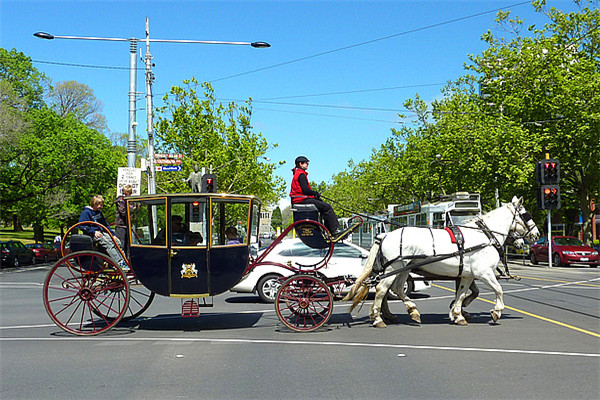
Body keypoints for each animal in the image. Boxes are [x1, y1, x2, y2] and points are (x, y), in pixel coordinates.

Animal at [344, 197, 540, 328]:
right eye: (526, 214)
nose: (537, 234)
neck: (485, 236)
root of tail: (384, 235)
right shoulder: (484, 273)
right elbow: (498, 290)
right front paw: (496, 312)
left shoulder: (467, 275)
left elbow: (462, 294)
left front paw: (458, 314)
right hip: (395, 266)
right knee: (381, 289)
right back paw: (378, 319)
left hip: (403, 268)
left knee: (397, 288)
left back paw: (411, 311)